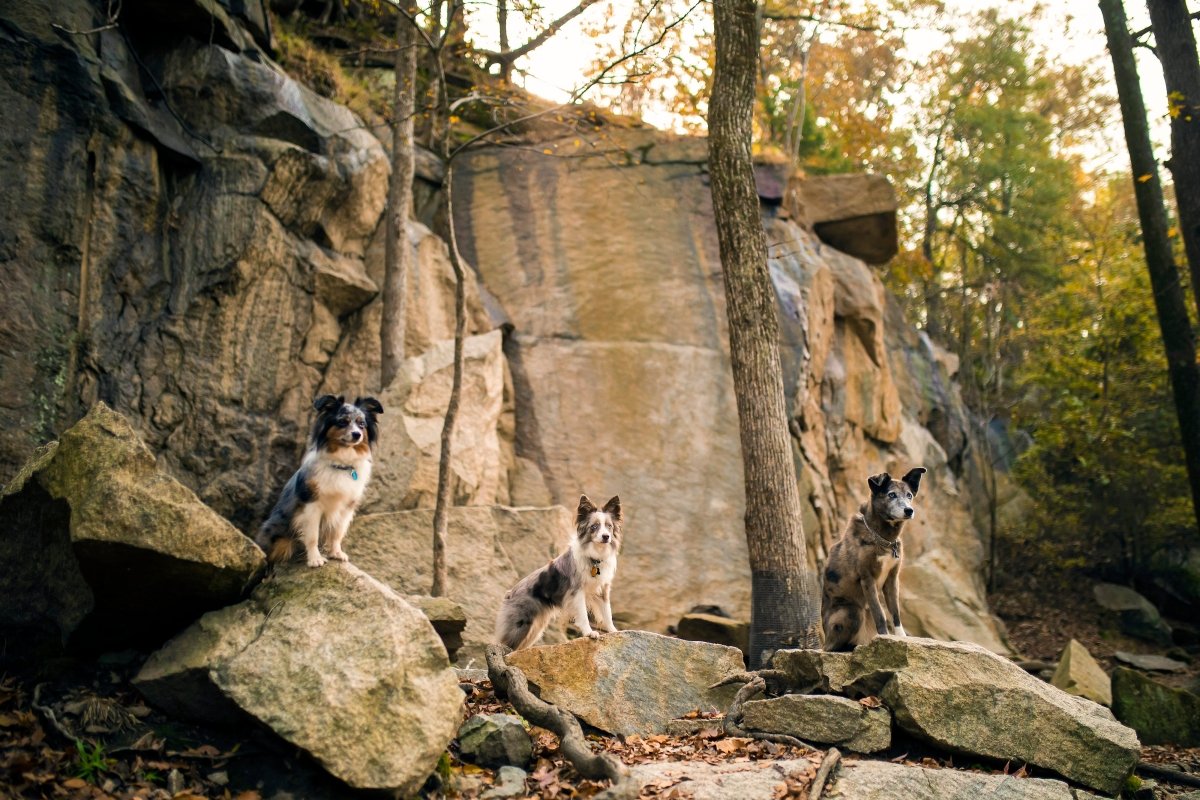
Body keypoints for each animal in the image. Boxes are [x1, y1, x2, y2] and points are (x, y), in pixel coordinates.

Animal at [255, 393, 381, 568]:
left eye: (361, 424)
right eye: (343, 422)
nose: (357, 435)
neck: (341, 464)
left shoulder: (346, 508)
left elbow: (337, 533)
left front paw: (336, 553)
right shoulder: (312, 505)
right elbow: (312, 535)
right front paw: (315, 559)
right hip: (278, 536)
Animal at [496, 494, 628, 652]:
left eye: (609, 526)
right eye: (594, 527)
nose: (606, 536)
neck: (594, 557)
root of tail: (510, 593)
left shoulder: (603, 589)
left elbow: (607, 612)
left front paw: (614, 632)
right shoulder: (577, 591)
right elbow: (583, 615)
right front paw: (589, 633)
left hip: (534, 629)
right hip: (519, 625)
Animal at [825, 470, 926, 652]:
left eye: (909, 495)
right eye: (891, 494)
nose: (909, 510)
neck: (884, 539)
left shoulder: (892, 580)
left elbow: (895, 612)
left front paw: (901, 638)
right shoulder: (867, 579)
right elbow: (879, 613)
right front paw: (885, 638)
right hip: (851, 611)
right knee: (831, 648)